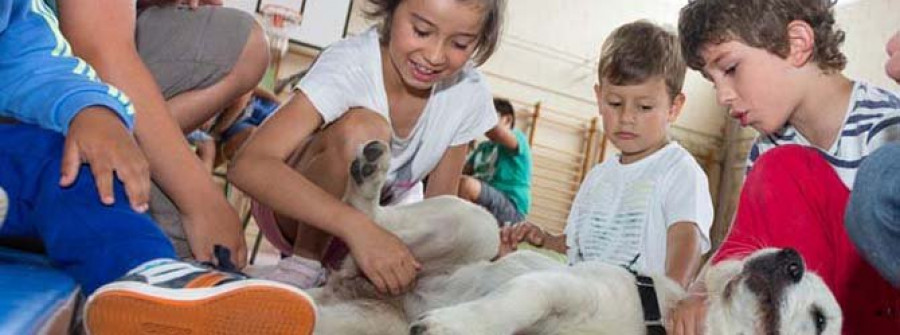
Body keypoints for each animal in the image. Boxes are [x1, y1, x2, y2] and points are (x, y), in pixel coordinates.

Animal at [306, 142, 840, 335]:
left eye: (820, 321)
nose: (792, 257)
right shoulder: (567, 288)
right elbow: (521, 300)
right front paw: (455, 325)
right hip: (475, 227)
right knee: (370, 218)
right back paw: (369, 175)